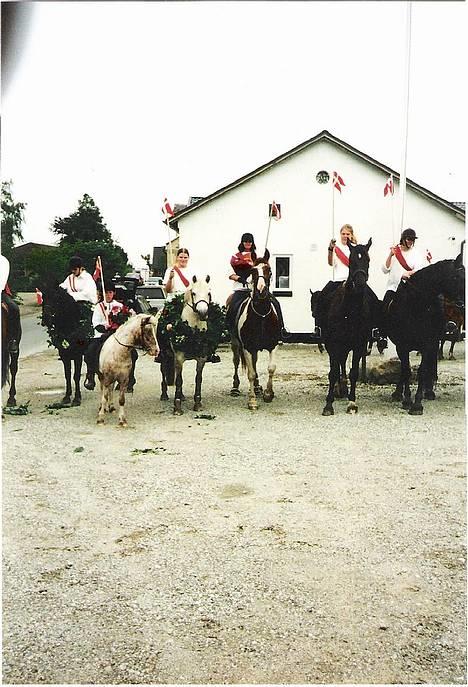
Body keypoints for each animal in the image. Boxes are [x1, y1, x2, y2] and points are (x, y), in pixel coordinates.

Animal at [156, 276, 226, 416]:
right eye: (193, 293)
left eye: (209, 293)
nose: (203, 312)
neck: (194, 331)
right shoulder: (179, 357)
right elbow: (179, 380)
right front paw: (177, 408)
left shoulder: (201, 358)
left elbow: (198, 379)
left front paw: (197, 404)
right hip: (165, 355)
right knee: (164, 372)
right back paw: (164, 395)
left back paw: (182, 396)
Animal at [229, 254, 280, 412]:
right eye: (253, 271)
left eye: (269, 269)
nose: (261, 290)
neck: (261, 315)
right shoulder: (247, 347)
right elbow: (250, 373)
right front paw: (252, 401)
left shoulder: (273, 345)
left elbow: (271, 368)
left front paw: (268, 394)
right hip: (235, 343)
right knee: (236, 361)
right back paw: (235, 388)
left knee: (255, 362)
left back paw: (257, 388)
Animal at [318, 239, 380, 416]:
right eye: (351, 261)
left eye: (368, 259)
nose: (359, 283)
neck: (350, 311)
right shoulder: (334, 344)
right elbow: (332, 373)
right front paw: (328, 404)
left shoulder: (359, 345)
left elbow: (354, 373)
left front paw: (352, 402)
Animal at [384, 253, 464, 414]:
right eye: (456, 277)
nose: (463, 302)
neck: (416, 307)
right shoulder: (402, 345)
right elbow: (406, 370)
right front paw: (406, 399)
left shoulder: (428, 344)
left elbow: (422, 370)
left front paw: (417, 404)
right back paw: (398, 393)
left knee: (432, 363)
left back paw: (429, 391)